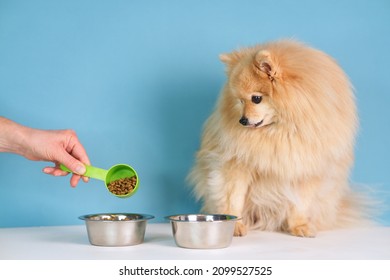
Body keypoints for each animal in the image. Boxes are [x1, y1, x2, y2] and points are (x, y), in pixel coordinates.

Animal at [189, 39, 372, 236]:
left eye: (256, 99)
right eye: (240, 101)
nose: (242, 120)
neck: (283, 130)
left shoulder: (306, 169)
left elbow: (301, 204)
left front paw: (299, 226)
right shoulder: (236, 165)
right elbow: (233, 199)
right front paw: (235, 226)